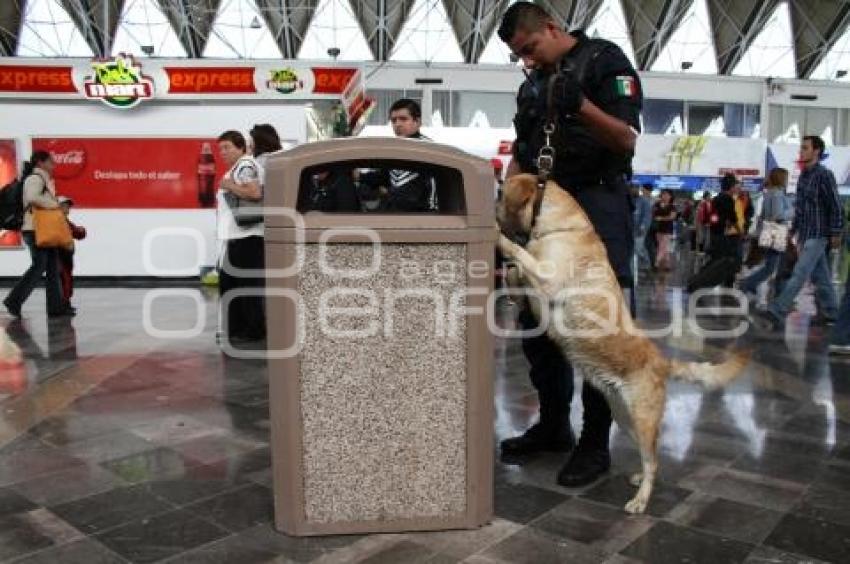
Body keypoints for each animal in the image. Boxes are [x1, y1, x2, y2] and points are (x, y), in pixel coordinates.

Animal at [496, 174, 748, 512]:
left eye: (501, 193)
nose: (493, 199)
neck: (559, 227)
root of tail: (662, 362)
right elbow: (515, 272)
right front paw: (512, 290)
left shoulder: (547, 280)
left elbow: (518, 254)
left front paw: (499, 238)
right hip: (625, 417)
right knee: (651, 456)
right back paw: (640, 478)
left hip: (642, 418)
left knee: (653, 460)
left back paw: (640, 500)